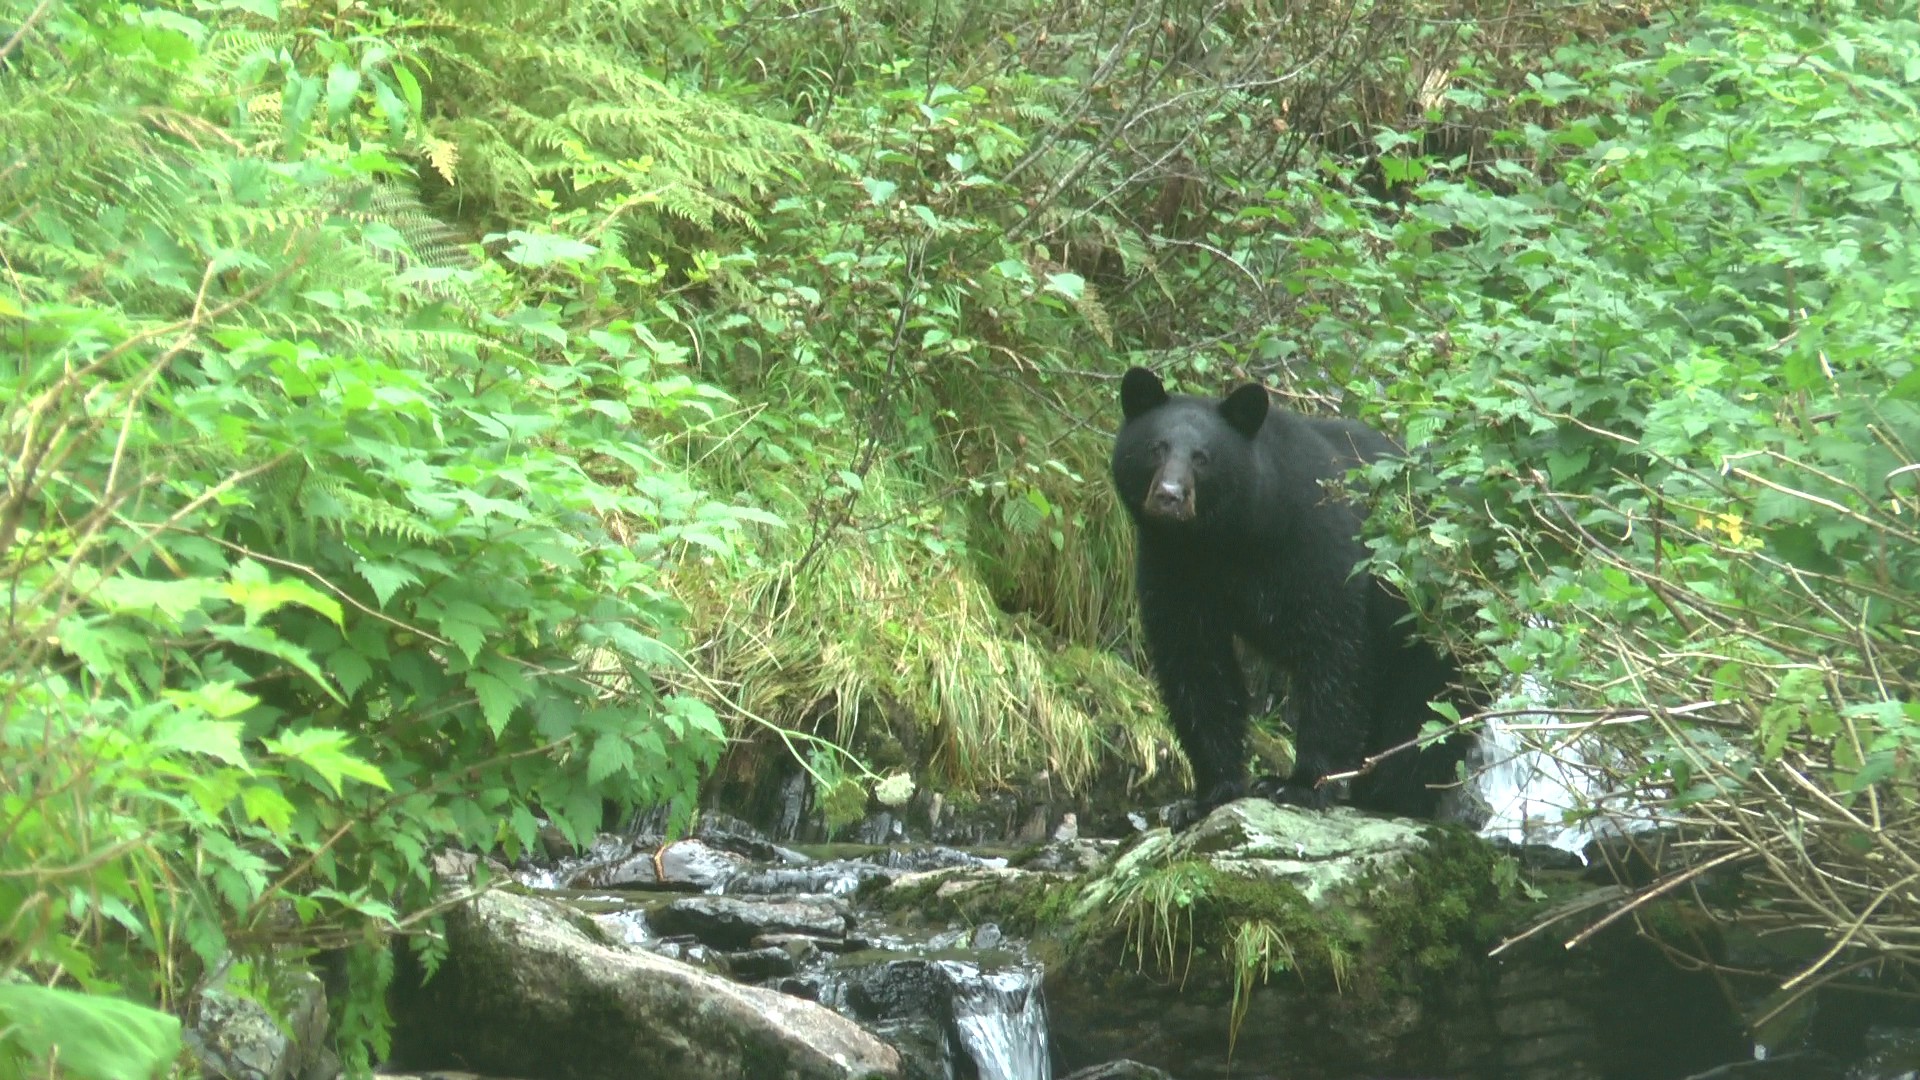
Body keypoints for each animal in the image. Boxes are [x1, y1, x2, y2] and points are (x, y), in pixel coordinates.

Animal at [1108, 366, 1474, 820]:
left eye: (1203, 458)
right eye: (1155, 448)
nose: (1170, 496)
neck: (1226, 539)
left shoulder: (1314, 548)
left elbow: (1333, 656)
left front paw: (1299, 785)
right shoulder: (1175, 570)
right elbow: (1195, 665)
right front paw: (1208, 794)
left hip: (1435, 629)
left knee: (1426, 713)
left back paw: (1393, 796)